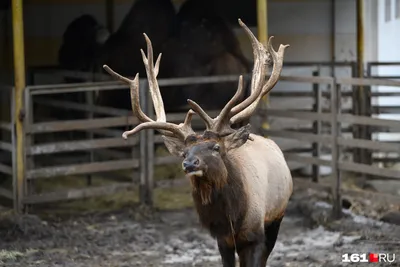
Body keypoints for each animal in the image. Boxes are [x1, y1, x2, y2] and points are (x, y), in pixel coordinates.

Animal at [102, 19, 290, 266]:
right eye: (184, 153)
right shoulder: (222, 241)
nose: (190, 164)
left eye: (216, 147)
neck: (232, 217)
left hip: (277, 216)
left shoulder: (257, 233)